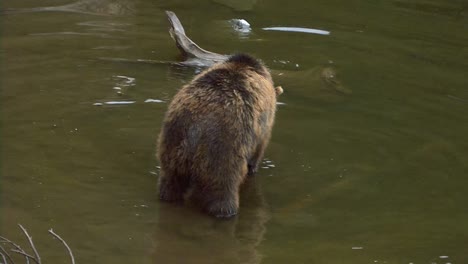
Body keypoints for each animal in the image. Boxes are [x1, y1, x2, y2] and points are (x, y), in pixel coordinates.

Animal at [157, 54, 282, 219]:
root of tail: (195, 129)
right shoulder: (263, 126)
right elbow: (259, 149)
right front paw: (253, 168)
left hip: (172, 144)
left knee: (170, 184)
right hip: (223, 151)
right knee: (223, 190)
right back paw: (227, 212)